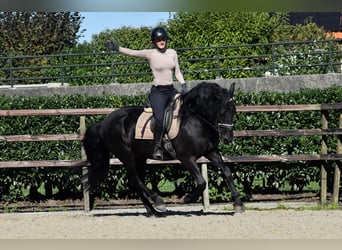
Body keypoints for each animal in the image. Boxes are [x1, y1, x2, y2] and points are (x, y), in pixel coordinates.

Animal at [82, 81, 243, 215]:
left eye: (234, 111)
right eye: (222, 112)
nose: (227, 138)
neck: (195, 119)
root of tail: (103, 122)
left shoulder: (210, 152)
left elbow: (227, 172)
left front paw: (238, 203)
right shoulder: (186, 158)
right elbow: (202, 182)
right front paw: (187, 198)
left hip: (140, 157)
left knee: (136, 180)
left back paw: (152, 210)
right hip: (126, 155)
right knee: (135, 178)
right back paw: (158, 201)